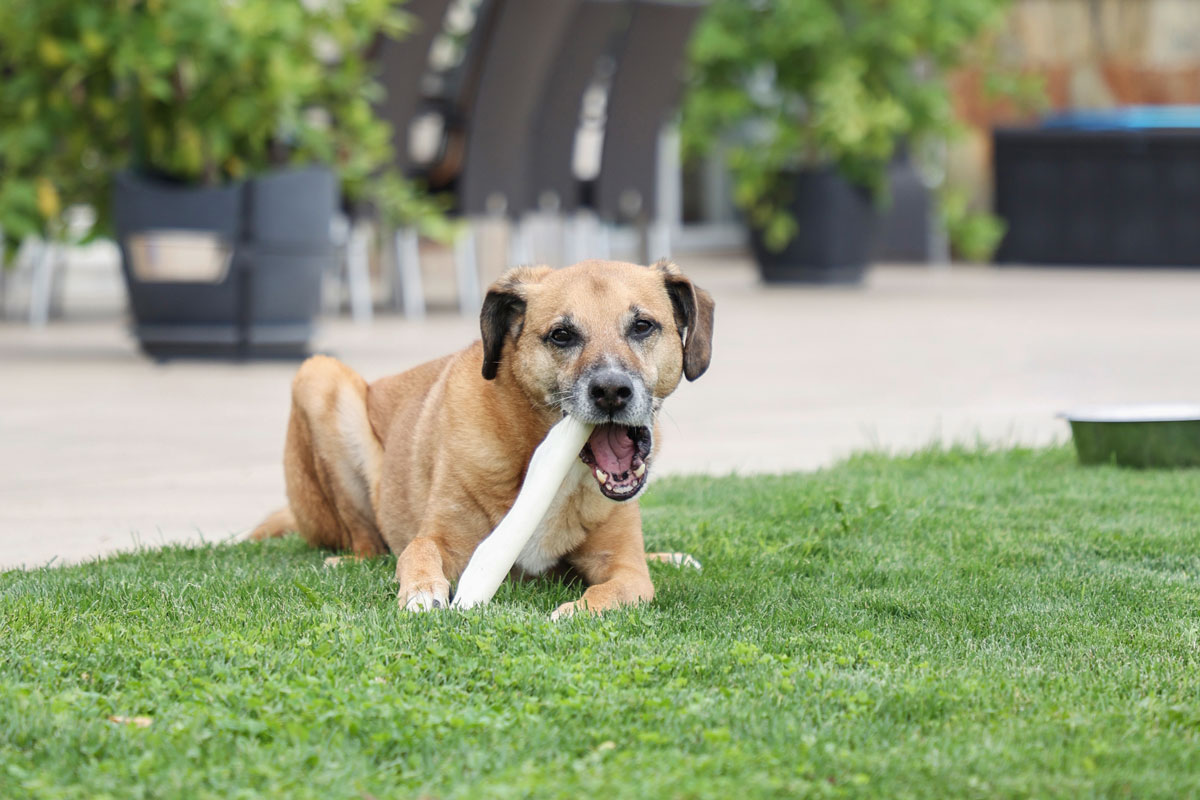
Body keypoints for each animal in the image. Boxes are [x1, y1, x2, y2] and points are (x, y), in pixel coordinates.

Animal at [247, 260, 705, 618]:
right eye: (561, 335)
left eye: (642, 326)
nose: (611, 391)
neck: (548, 466)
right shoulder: (442, 540)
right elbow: (417, 552)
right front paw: (421, 592)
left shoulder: (626, 568)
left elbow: (619, 587)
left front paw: (579, 610)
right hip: (320, 376)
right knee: (368, 544)